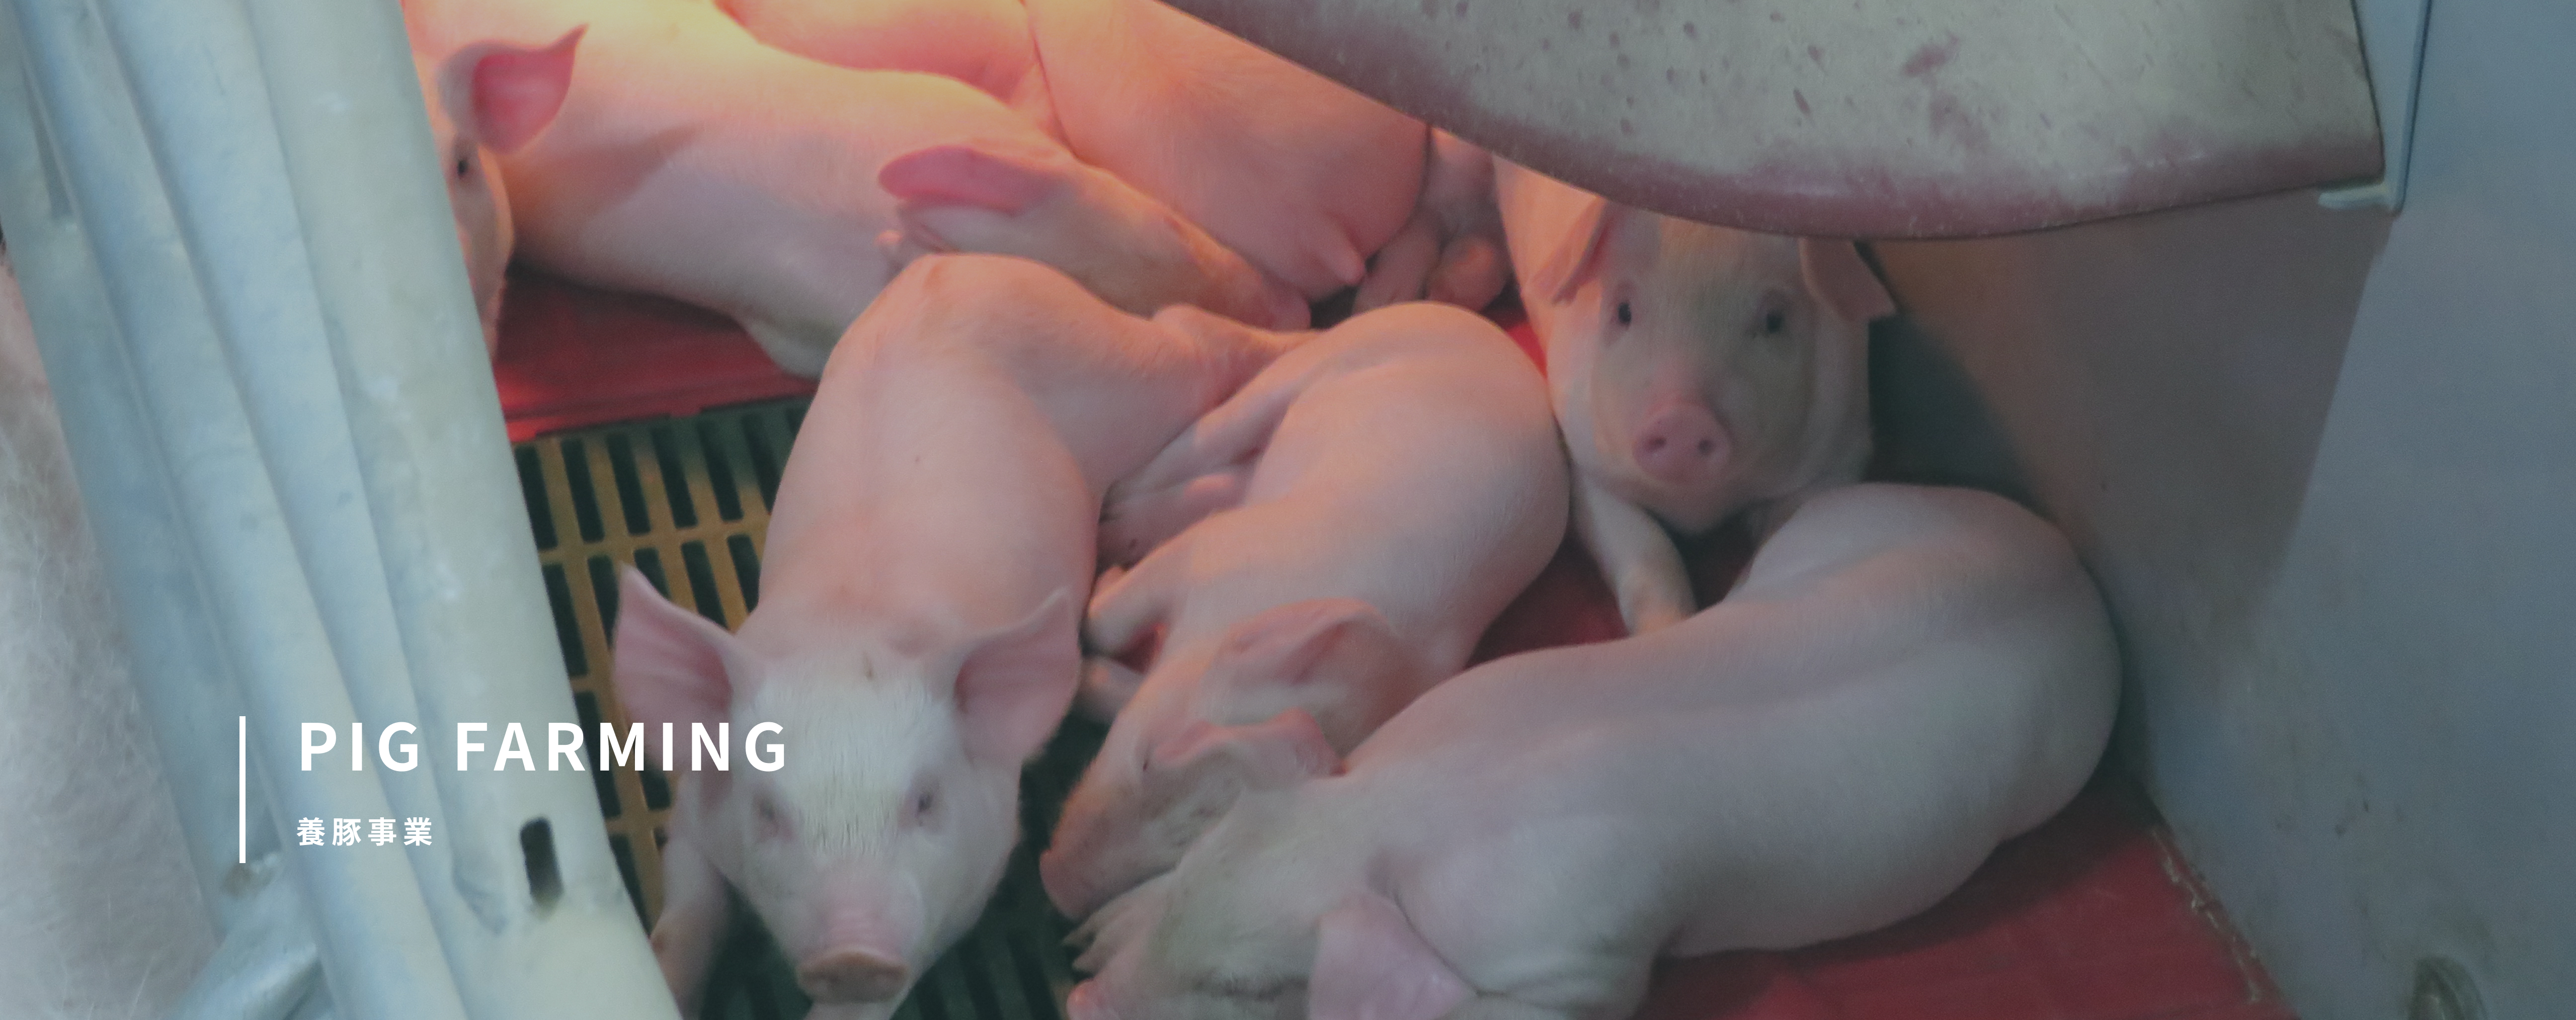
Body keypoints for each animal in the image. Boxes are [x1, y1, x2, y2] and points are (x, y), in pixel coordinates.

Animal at [608, 255, 1297, 1020]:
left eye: (925, 800)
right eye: (767, 812)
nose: (853, 956)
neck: (850, 627)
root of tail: (956, 264)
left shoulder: (976, 869)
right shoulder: (693, 814)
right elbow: (685, 918)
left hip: (1125, 370)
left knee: (1188, 332)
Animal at [1039, 302, 1568, 919]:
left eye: (1192, 841)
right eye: (1147, 757)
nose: (1054, 885)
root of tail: (1489, 334)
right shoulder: (1215, 549)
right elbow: (1108, 620)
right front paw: (1098, 594)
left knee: (1237, 472)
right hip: (1337, 355)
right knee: (1220, 430)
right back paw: (1116, 509)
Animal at [1065, 482, 2121, 1020]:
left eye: (1246, 985)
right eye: (1190, 870)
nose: (1078, 1004)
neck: (1408, 809)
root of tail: (2069, 564)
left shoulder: (1584, 960)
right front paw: (1093, 935)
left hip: (2056, 767)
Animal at [1494, 162, 1896, 634]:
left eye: (1774, 319)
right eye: (1623, 311)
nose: (1683, 419)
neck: (1699, 506)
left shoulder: (1841, 450)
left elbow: (1777, 545)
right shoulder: (1587, 466)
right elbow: (1649, 556)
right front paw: (1666, 633)